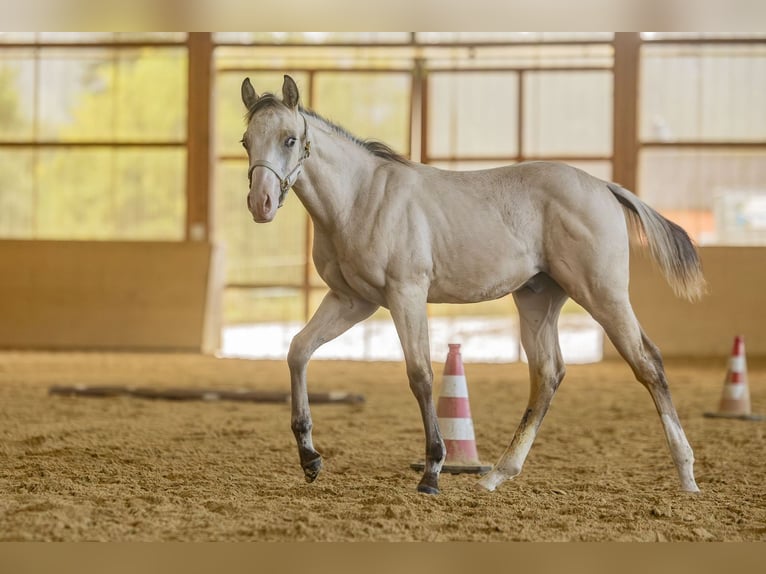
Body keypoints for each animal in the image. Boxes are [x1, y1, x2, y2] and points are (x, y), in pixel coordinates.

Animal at [239, 74, 706, 495]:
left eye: (289, 139)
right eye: (246, 141)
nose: (261, 205)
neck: (360, 199)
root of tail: (604, 187)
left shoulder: (405, 295)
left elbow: (421, 375)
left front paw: (431, 473)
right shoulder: (351, 300)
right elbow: (298, 351)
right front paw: (309, 458)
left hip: (602, 294)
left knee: (648, 364)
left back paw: (687, 475)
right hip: (538, 300)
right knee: (548, 374)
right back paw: (496, 475)